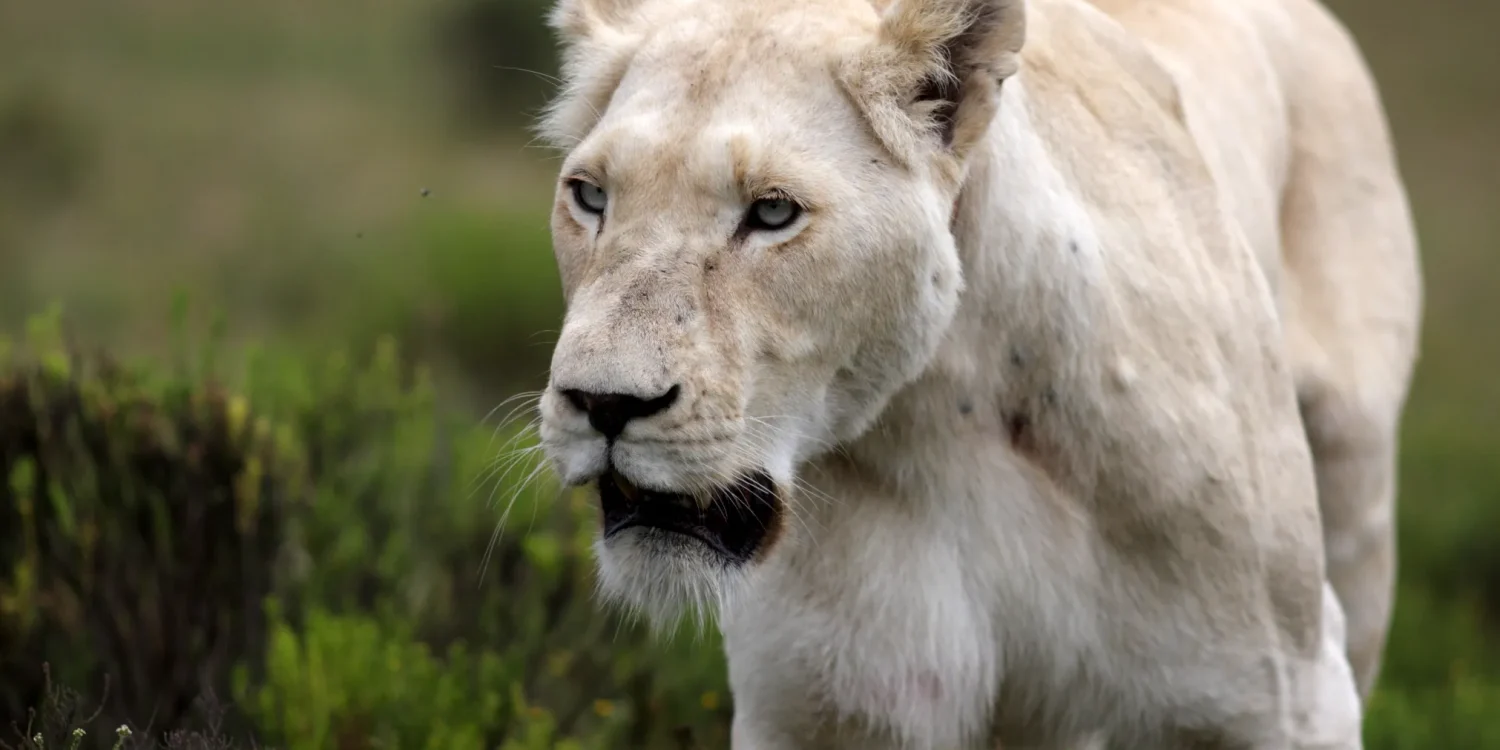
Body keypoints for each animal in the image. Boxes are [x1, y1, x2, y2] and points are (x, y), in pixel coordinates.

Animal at [531, 0, 1423, 746]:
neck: (944, 416)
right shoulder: (833, 706)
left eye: (773, 211)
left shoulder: (1283, 693)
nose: (601, 404)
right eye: (590, 196)